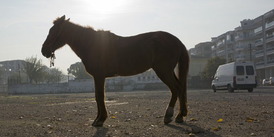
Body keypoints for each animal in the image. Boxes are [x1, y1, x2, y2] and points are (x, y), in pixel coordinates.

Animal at [41, 15, 189, 127]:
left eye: (53, 31)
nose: (44, 50)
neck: (92, 44)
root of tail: (176, 40)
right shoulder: (98, 77)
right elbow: (98, 96)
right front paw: (98, 119)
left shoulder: (99, 76)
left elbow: (99, 96)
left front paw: (100, 120)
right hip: (167, 71)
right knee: (180, 87)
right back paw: (180, 116)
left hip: (163, 70)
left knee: (175, 88)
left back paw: (169, 116)